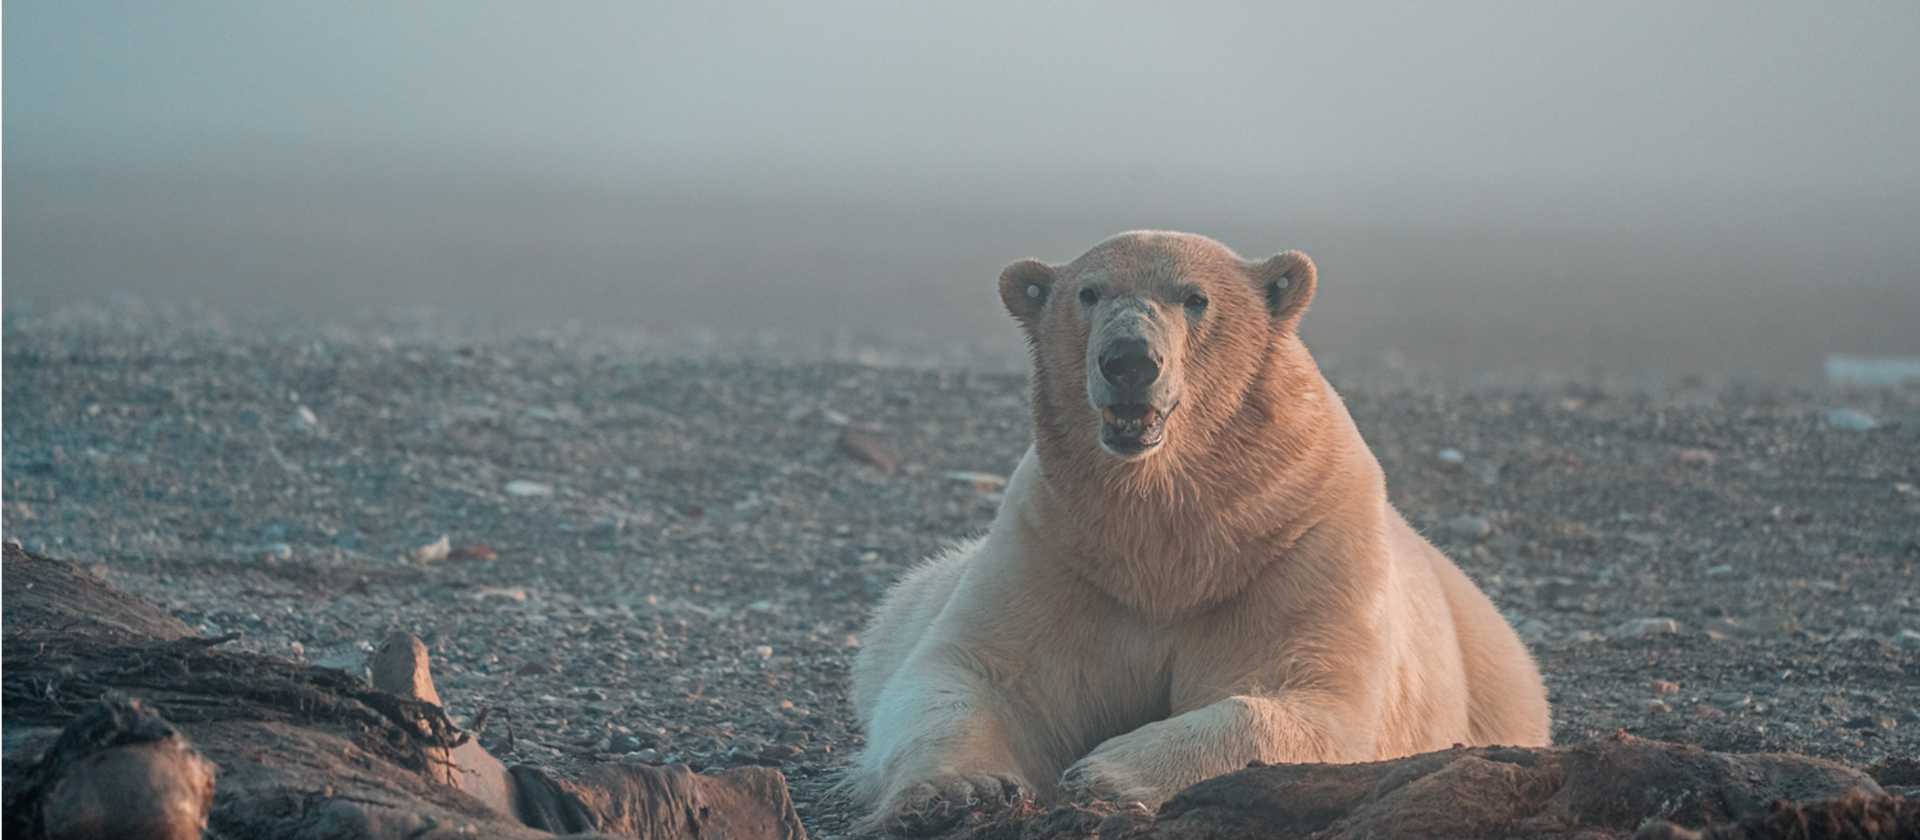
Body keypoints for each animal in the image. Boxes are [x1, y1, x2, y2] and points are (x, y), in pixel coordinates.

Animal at [843, 231, 1551, 832]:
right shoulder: (1052, 547)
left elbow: (1313, 699)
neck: (1175, 539)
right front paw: (959, 791)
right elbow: (974, 671)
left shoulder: (1305, 545)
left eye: (1195, 297)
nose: (1129, 359)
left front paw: (1102, 773)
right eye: (1088, 293)